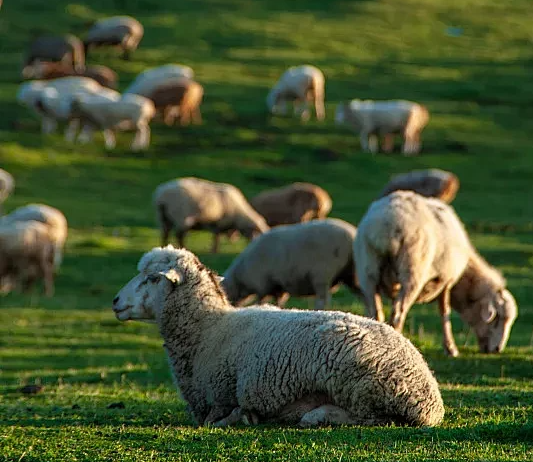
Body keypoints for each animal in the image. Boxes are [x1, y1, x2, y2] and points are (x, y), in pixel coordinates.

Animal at [111, 247, 444, 428]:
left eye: (152, 278)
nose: (115, 301)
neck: (210, 329)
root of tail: (429, 401)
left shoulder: (220, 397)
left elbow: (219, 418)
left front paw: (243, 417)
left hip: (362, 384)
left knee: (371, 418)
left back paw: (317, 415)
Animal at [221, 217, 362, 310]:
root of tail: (352, 236)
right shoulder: (277, 287)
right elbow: (279, 302)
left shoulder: (262, 284)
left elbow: (261, 300)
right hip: (352, 274)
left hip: (323, 274)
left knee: (323, 300)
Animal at [354, 191, 516, 358]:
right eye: (497, 318)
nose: (497, 349)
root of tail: (385, 226)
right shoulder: (446, 281)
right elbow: (445, 312)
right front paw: (450, 348)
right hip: (412, 271)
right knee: (398, 313)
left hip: (367, 269)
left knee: (376, 311)